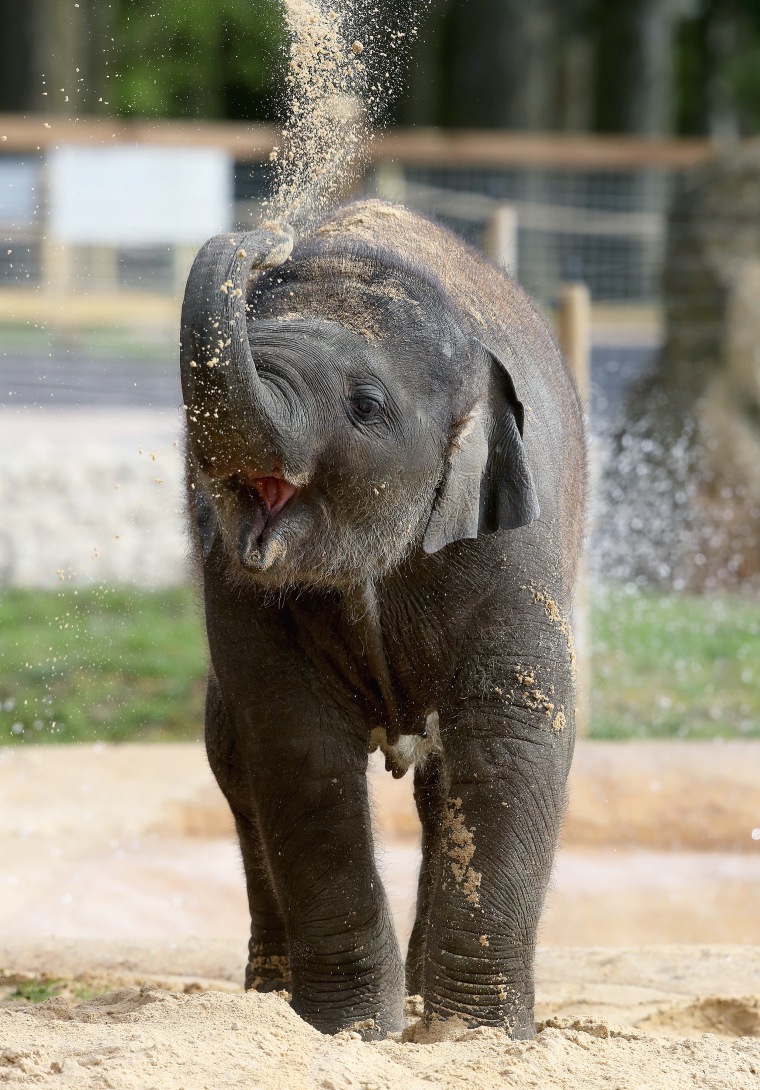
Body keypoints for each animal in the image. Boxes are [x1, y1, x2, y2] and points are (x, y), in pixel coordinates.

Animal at [181, 200, 584, 1042]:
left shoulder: (513, 540)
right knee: (233, 756)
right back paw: (271, 995)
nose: (267, 233)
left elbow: (512, 729)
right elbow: (295, 743)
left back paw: (425, 1003)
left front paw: (474, 1038)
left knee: (440, 776)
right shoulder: (235, 586)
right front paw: (349, 1031)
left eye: (365, 406)